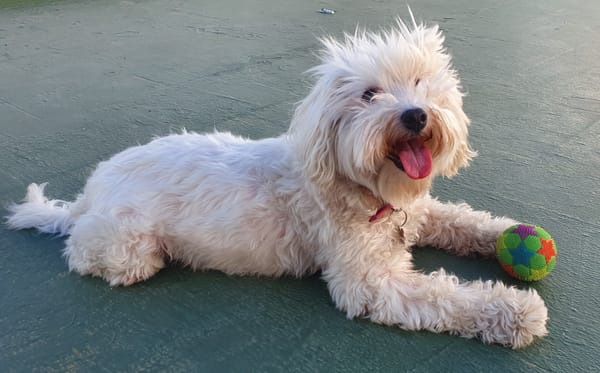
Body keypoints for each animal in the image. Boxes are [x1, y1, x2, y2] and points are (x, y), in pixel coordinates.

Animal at [5, 18, 548, 348]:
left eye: (419, 82)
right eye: (369, 94)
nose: (415, 115)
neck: (365, 192)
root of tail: (87, 194)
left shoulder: (419, 214)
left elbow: (462, 220)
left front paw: (502, 235)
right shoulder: (370, 283)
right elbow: (446, 296)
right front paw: (517, 311)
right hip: (129, 247)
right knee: (88, 254)